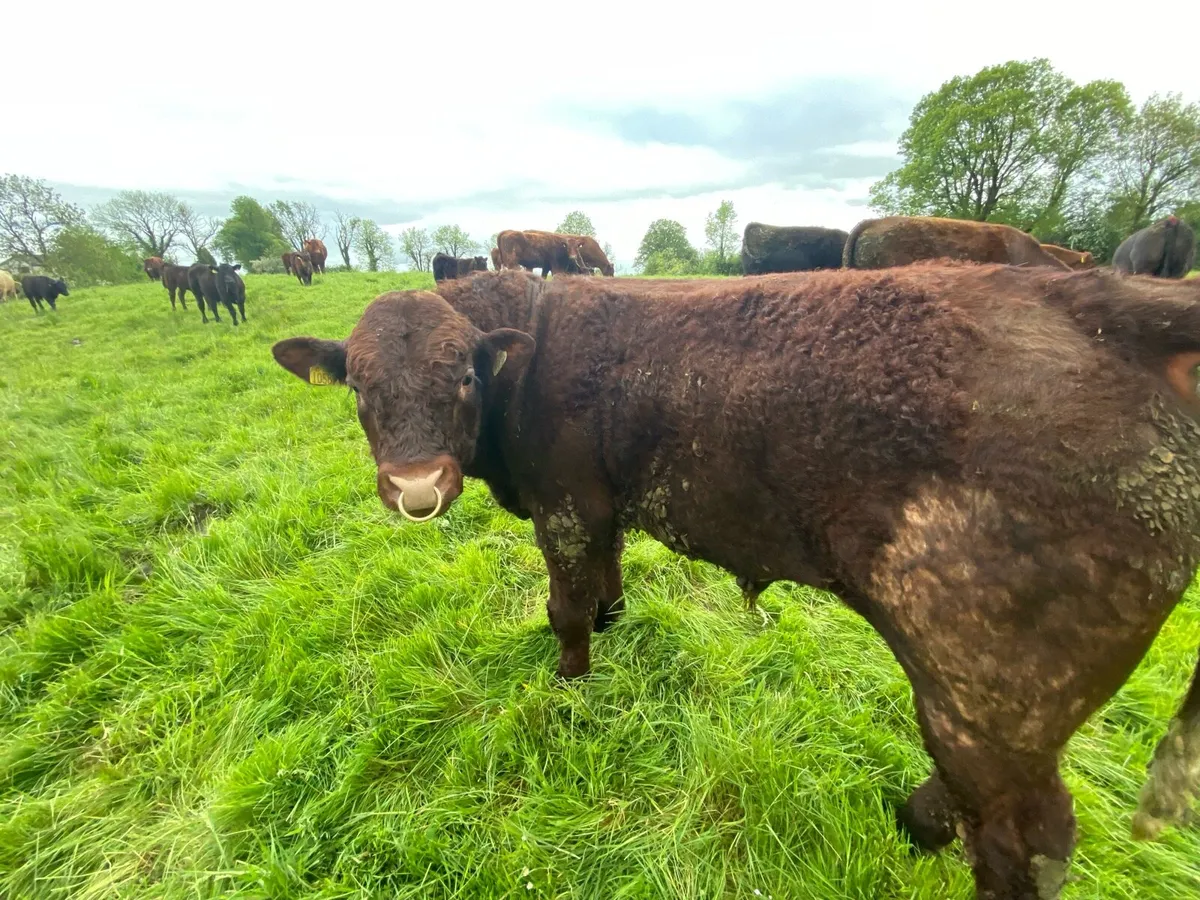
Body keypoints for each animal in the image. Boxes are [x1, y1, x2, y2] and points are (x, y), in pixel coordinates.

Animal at [273, 264, 1200, 899]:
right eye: (359, 386)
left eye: (463, 375)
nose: (417, 487)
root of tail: (1098, 298)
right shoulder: (603, 505)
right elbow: (605, 585)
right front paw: (610, 634)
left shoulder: (564, 505)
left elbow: (564, 608)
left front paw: (570, 692)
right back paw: (912, 824)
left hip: (987, 680)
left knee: (1024, 837)